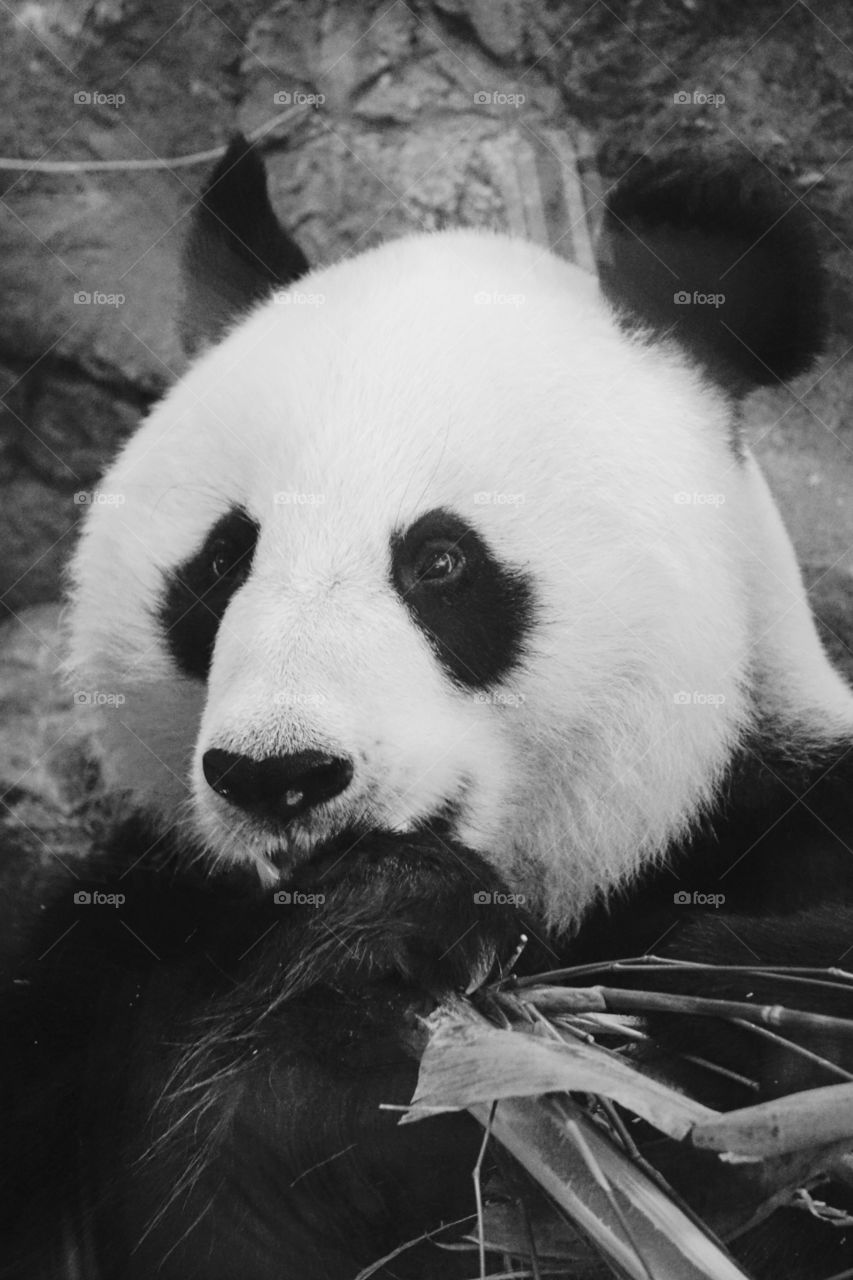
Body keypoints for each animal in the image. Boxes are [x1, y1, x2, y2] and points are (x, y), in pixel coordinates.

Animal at [4, 140, 850, 1280]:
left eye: (440, 561)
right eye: (223, 562)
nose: (280, 774)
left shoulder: (785, 824)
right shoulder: (108, 967)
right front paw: (375, 955)